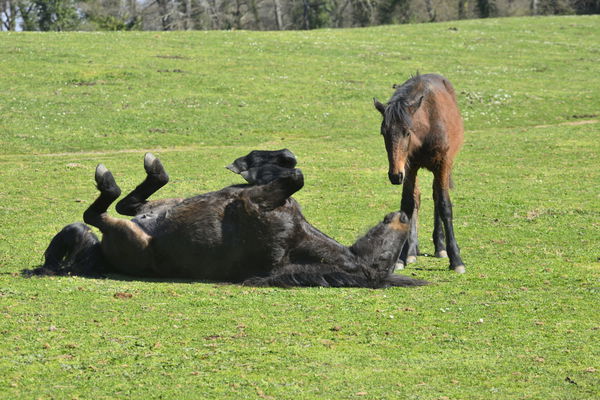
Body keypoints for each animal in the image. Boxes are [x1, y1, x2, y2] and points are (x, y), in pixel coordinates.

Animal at [32, 151, 428, 288]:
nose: (402, 212)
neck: (295, 244)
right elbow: (293, 169)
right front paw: (256, 162)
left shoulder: (251, 203)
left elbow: (296, 176)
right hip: (162, 205)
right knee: (131, 202)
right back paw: (154, 169)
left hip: (127, 234)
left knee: (99, 212)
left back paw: (111, 180)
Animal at [372, 73, 466, 274]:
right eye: (384, 133)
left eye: (407, 132)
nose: (394, 176)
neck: (428, 125)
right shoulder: (409, 166)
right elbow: (408, 203)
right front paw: (401, 258)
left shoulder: (442, 164)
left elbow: (444, 205)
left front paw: (456, 259)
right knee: (417, 198)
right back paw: (412, 250)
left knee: (437, 197)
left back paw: (440, 247)